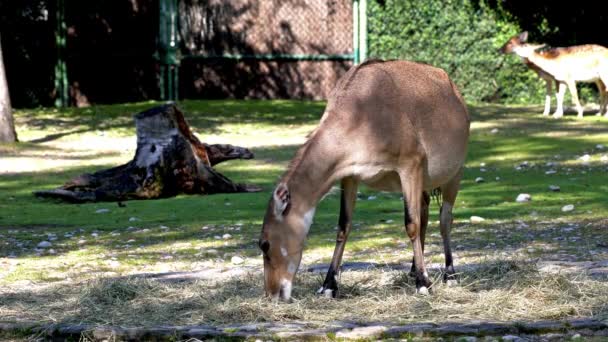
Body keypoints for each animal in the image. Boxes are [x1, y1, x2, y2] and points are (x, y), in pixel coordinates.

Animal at [256, 60, 470, 300]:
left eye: (264, 244)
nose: (273, 293)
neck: (361, 113)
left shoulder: (410, 164)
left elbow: (411, 223)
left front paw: (423, 284)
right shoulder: (349, 174)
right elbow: (344, 225)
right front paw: (329, 285)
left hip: (455, 172)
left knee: (445, 218)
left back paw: (449, 274)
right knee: (424, 211)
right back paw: (413, 269)